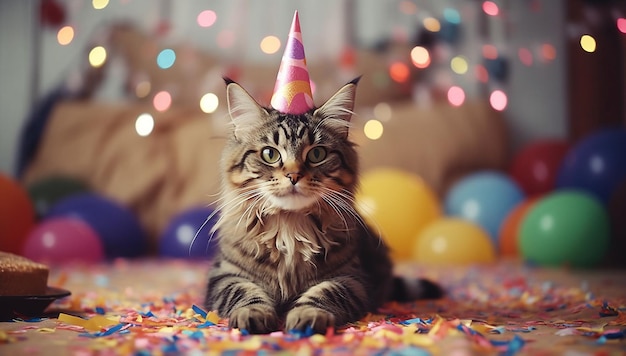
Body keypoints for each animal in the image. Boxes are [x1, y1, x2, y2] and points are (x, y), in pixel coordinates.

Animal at [204, 77, 438, 334]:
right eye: (270, 154)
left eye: (317, 154)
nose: (294, 175)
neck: (290, 228)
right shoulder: (224, 276)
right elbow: (244, 293)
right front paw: (252, 314)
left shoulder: (351, 279)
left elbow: (324, 293)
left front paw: (307, 315)